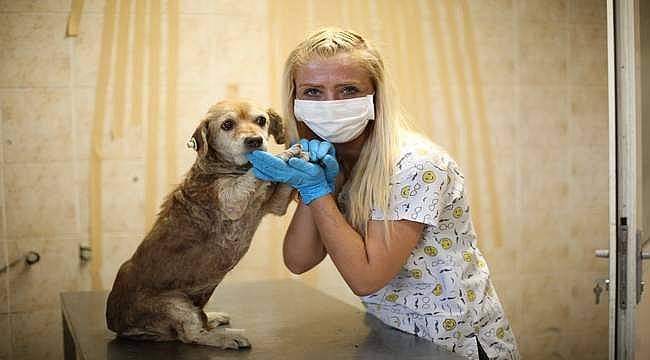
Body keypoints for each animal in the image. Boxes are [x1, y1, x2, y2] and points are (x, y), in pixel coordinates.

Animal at [106, 98, 298, 348]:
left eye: (261, 120)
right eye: (227, 124)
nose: (255, 140)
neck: (227, 169)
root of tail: (115, 323)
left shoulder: (275, 204)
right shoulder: (231, 199)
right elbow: (257, 172)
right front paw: (286, 154)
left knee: (197, 324)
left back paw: (213, 318)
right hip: (175, 304)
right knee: (191, 335)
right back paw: (226, 338)